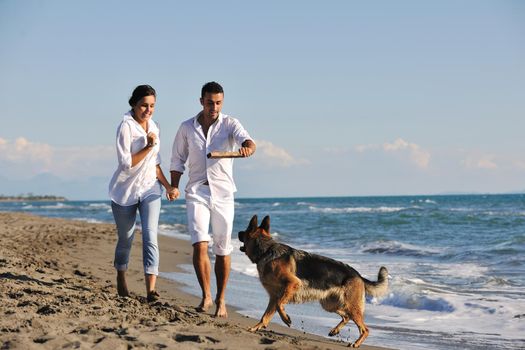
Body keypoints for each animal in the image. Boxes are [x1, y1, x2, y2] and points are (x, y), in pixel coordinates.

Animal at [237, 215, 388, 348]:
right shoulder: (274, 297)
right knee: (346, 317)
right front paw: (256, 328)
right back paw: (335, 331)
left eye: (245, 230)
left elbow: (280, 305)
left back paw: (356, 343)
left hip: (350, 306)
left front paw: (286, 319)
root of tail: (358, 275)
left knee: (365, 329)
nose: (238, 232)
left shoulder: (291, 285)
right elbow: (265, 316)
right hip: (330, 304)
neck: (266, 250)